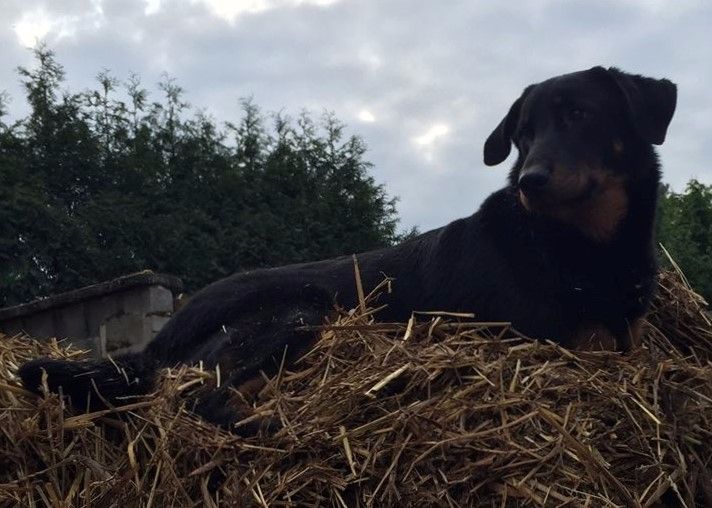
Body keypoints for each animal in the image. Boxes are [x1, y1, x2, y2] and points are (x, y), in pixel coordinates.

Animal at [18, 66, 677, 432]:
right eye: (523, 135)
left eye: (580, 115)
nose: (529, 182)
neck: (575, 246)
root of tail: (158, 340)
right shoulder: (548, 343)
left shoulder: (630, 342)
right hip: (297, 314)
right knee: (197, 399)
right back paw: (271, 426)